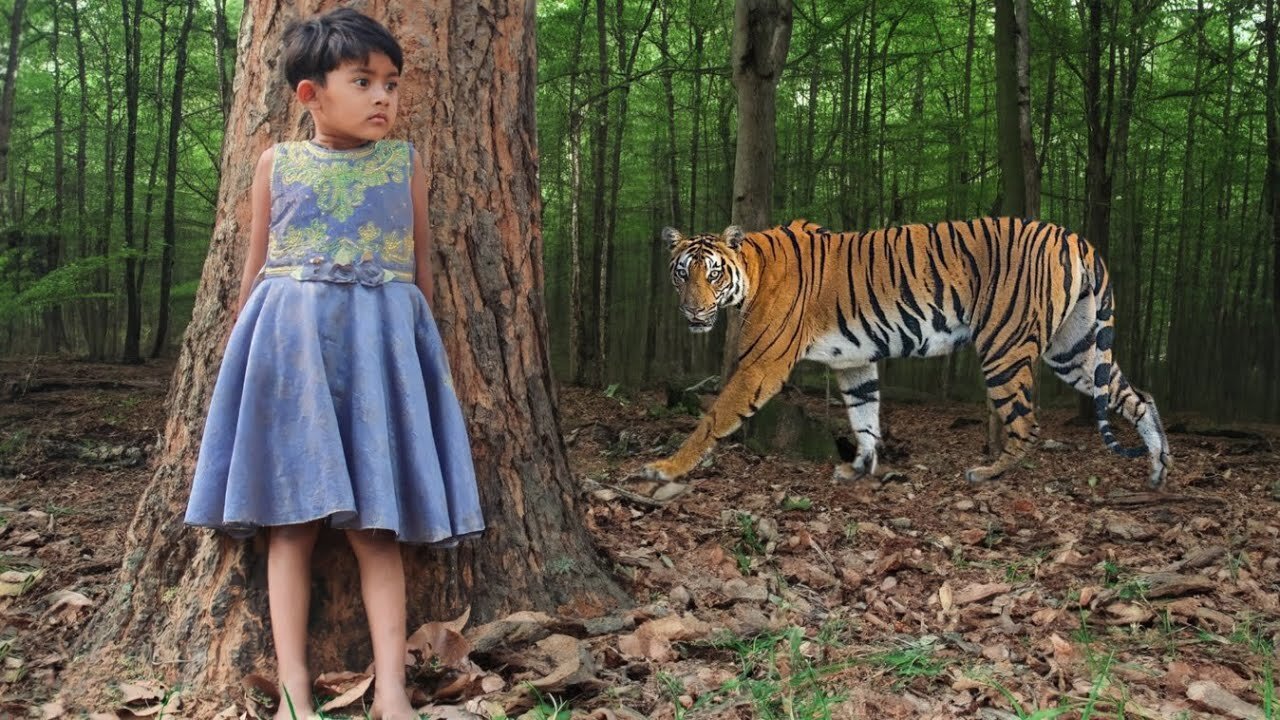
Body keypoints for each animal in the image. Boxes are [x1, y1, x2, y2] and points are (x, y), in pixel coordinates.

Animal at [643, 217, 1171, 488]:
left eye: (712, 274)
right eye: (681, 273)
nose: (693, 311)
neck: (750, 273)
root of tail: (1074, 236)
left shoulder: (761, 365)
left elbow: (714, 416)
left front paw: (667, 467)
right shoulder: (854, 360)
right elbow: (865, 416)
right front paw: (860, 467)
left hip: (1005, 345)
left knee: (1027, 424)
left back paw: (987, 473)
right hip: (1075, 348)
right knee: (1138, 397)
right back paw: (1160, 466)